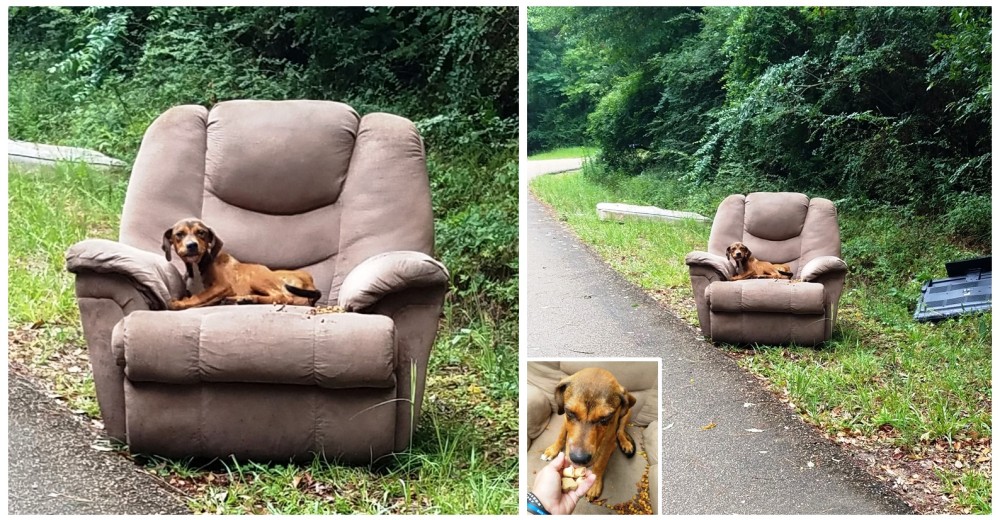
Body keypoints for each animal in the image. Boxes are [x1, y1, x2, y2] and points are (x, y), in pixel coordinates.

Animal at [163, 217, 320, 310]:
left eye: (201, 232)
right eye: (179, 234)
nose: (192, 245)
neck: (198, 266)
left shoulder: (222, 286)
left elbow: (201, 295)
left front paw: (180, 302)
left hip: (255, 277)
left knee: (283, 297)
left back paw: (250, 298)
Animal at [544, 368, 636, 502]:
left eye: (605, 418)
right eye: (570, 412)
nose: (579, 459)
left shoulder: (608, 444)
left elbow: (600, 464)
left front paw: (594, 485)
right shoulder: (565, 420)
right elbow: (561, 434)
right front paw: (553, 449)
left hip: (627, 413)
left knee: (620, 431)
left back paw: (625, 443)